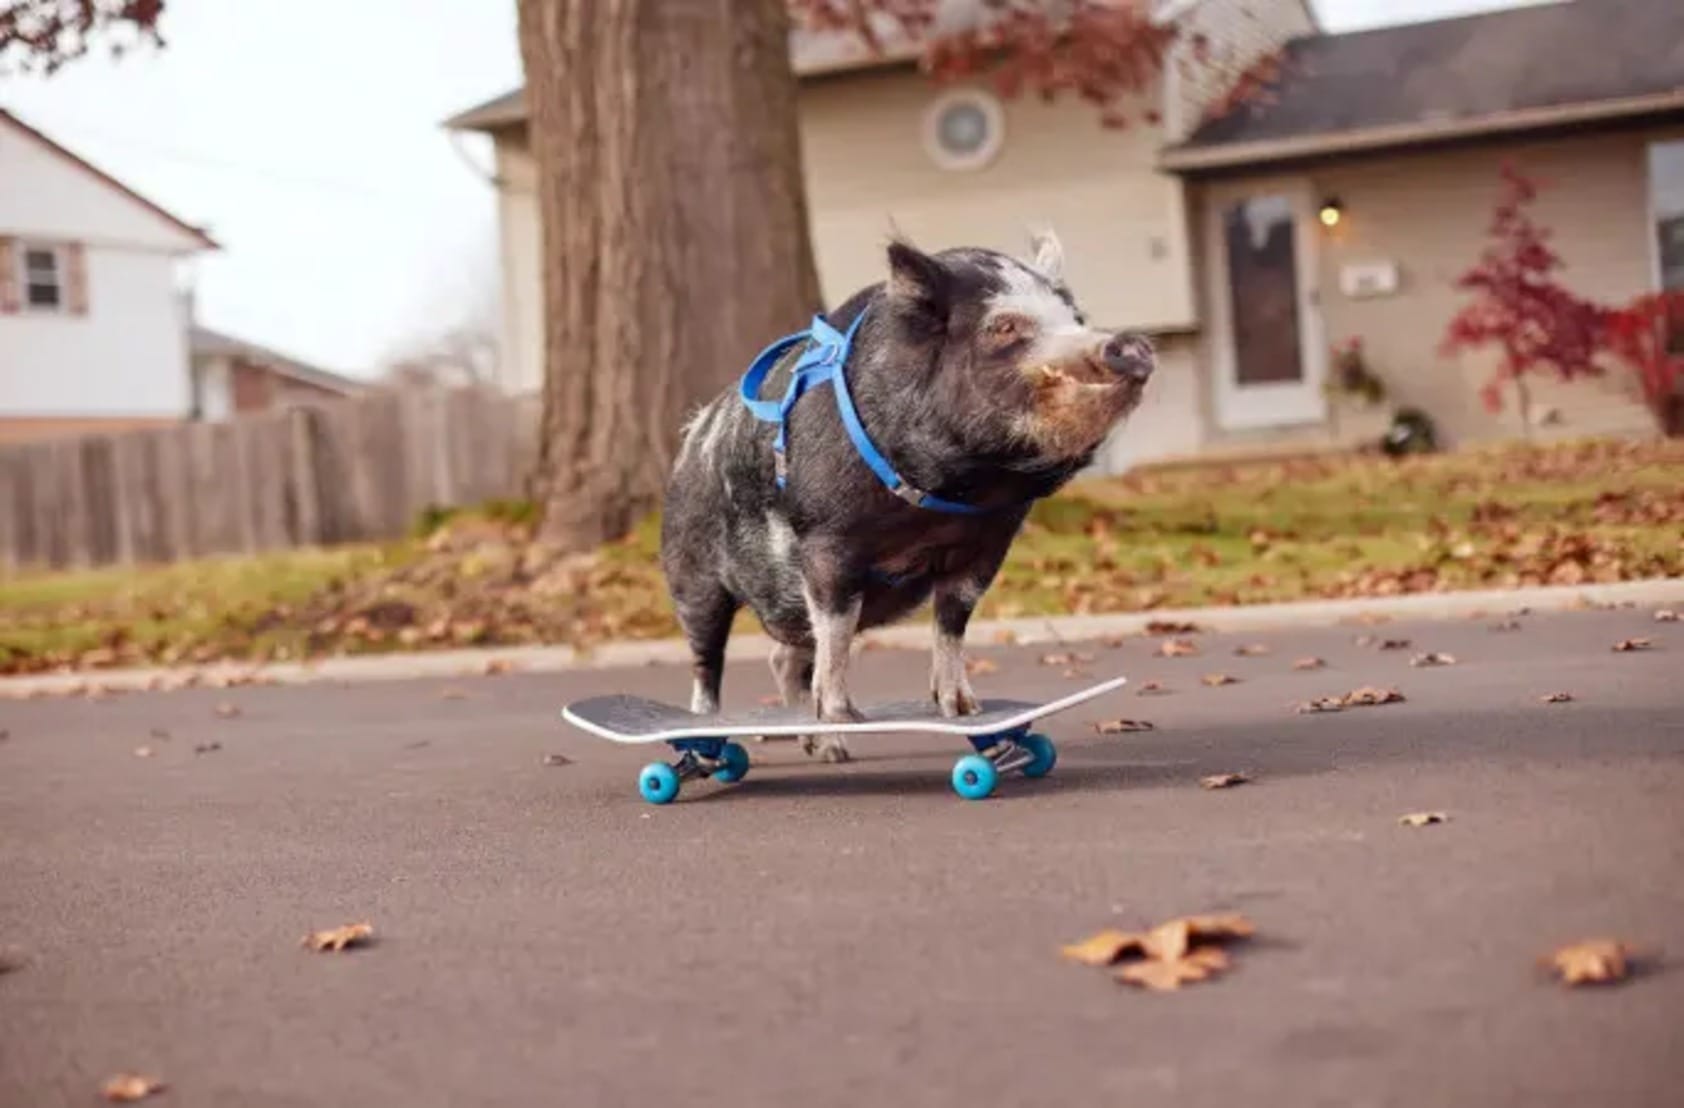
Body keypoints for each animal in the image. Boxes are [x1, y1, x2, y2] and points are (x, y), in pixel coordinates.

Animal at [660, 231, 1155, 762]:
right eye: (1003, 326)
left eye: (1075, 318)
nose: (1127, 343)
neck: (951, 494)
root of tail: (693, 436)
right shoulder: (827, 540)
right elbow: (837, 630)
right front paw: (847, 715)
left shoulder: (989, 542)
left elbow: (952, 621)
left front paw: (964, 711)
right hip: (693, 577)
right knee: (707, 664)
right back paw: (709, 744)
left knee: (783, 657)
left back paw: (827, 749)